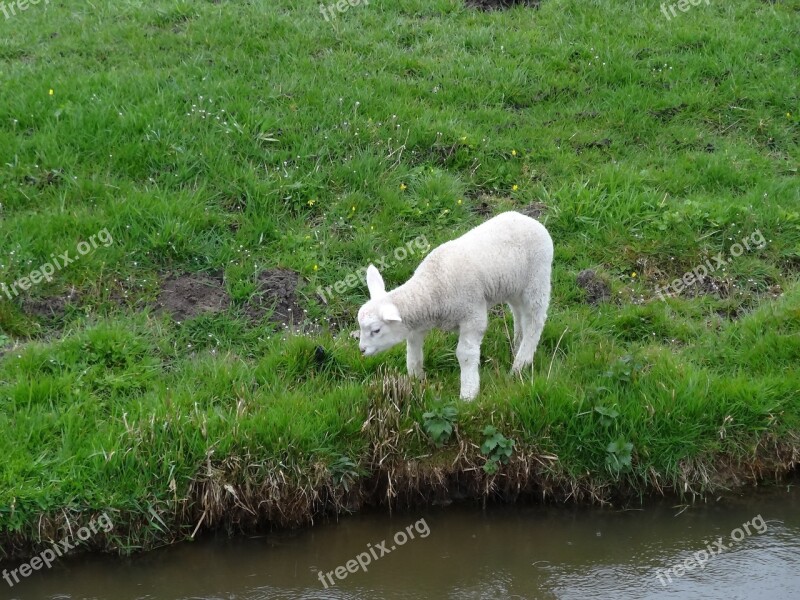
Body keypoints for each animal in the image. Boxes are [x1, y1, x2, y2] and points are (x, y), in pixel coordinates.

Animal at [358, 210, 552, 398]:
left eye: (376, 330)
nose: (361, 350)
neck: (431, 287)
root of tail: (529, 219)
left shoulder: (473, 316)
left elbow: (465, 354)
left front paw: (468, 394)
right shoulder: (420, 323)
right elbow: (413, 347)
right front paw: (415, 378)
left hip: (537, 280)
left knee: (534, 321)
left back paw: (520, 364)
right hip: (513, 287)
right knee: (520, 314)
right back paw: (517, 344)